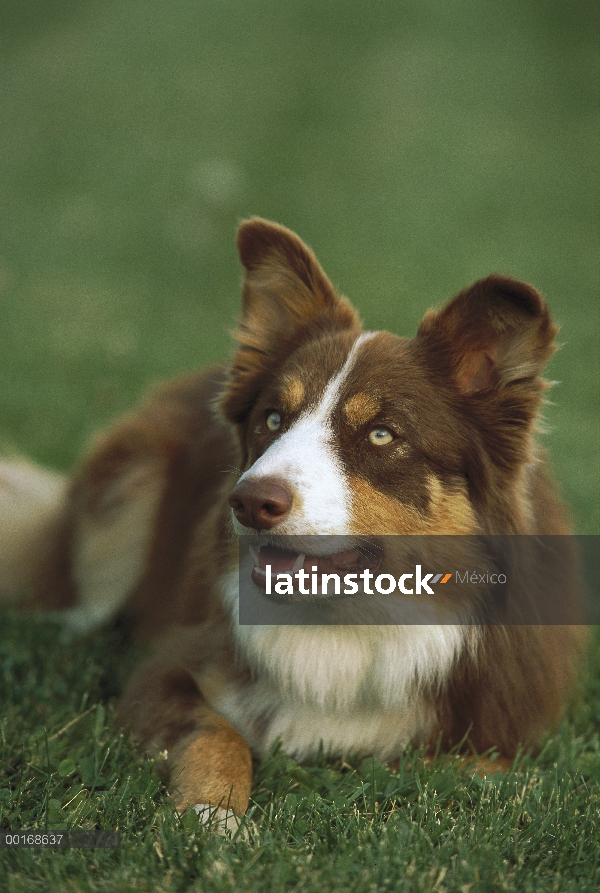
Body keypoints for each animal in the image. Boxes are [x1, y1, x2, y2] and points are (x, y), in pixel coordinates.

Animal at [0, 218, 580, 828]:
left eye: (381, 435)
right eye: (273, 419)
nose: (251, 502)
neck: (348, 625)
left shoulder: (503, 736)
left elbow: (453, 765)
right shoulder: (165, 671)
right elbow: (215, 731)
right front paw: (212, 812)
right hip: (128, 477)